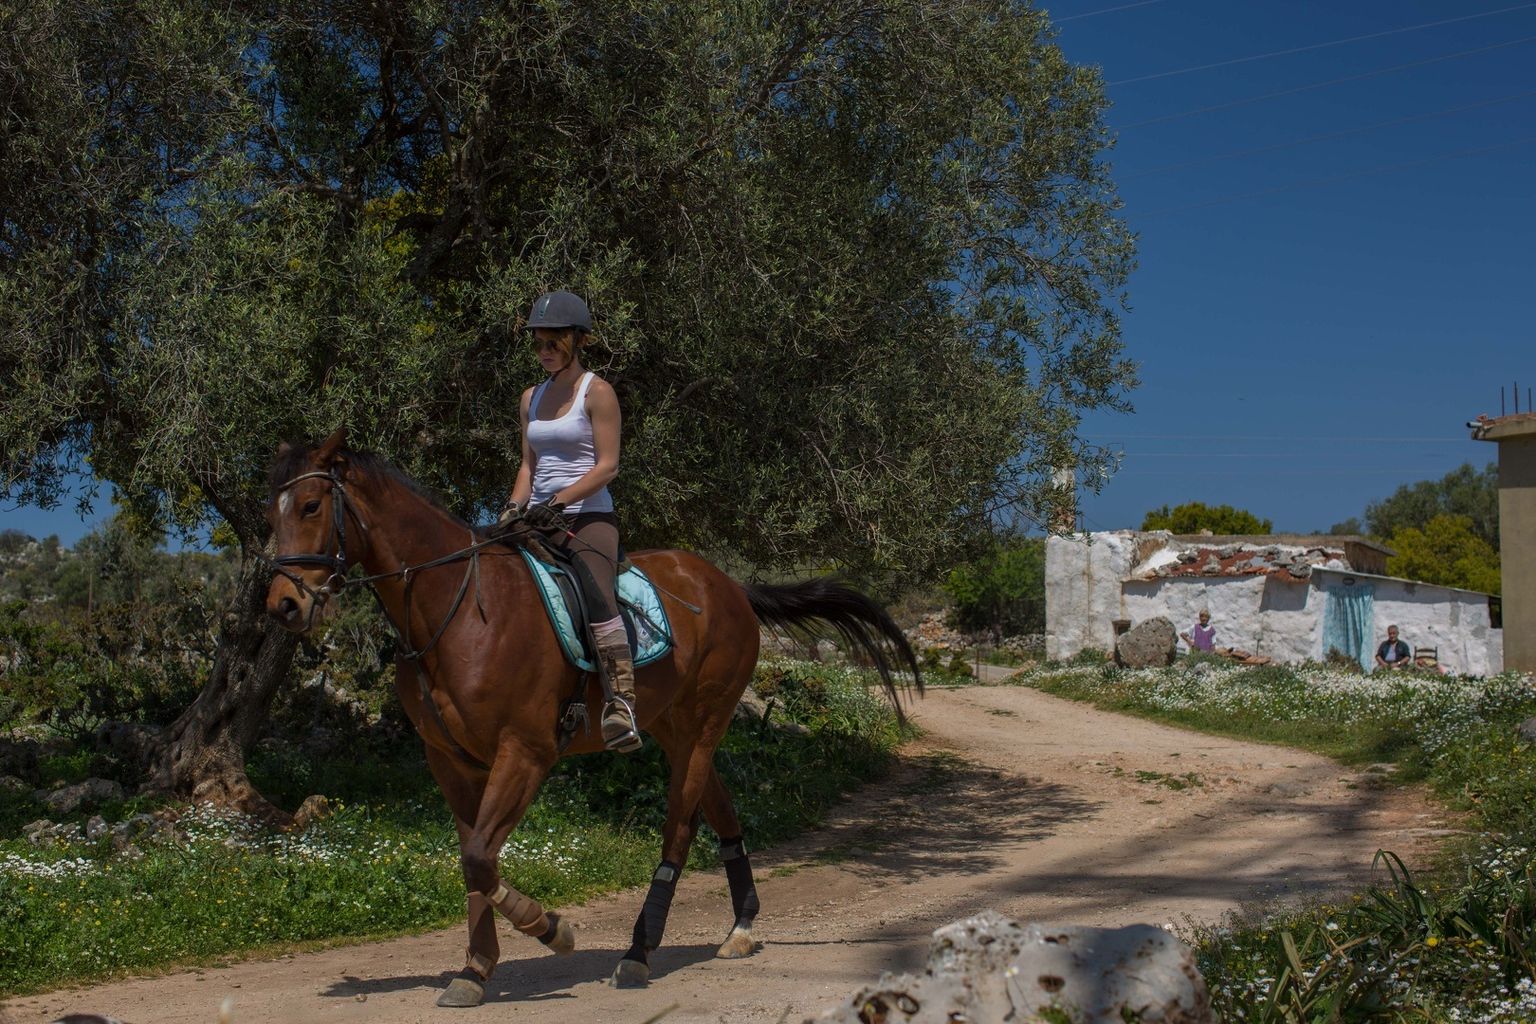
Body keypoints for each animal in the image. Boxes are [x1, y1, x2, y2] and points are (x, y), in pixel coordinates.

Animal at [261, 429, 921, 1007]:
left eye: (312, 505)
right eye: (272, 513)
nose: (282, 606)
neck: (457, 608)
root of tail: (729, 585)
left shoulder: (525, 753)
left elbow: (480, 858)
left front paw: (550, 928)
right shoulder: (449, 762)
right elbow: (473, 858)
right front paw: (475, 971)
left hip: (704, 722)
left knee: (680, 828)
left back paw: (638, 953)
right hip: (674, 727)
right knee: (721, 809)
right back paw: (740, 928)